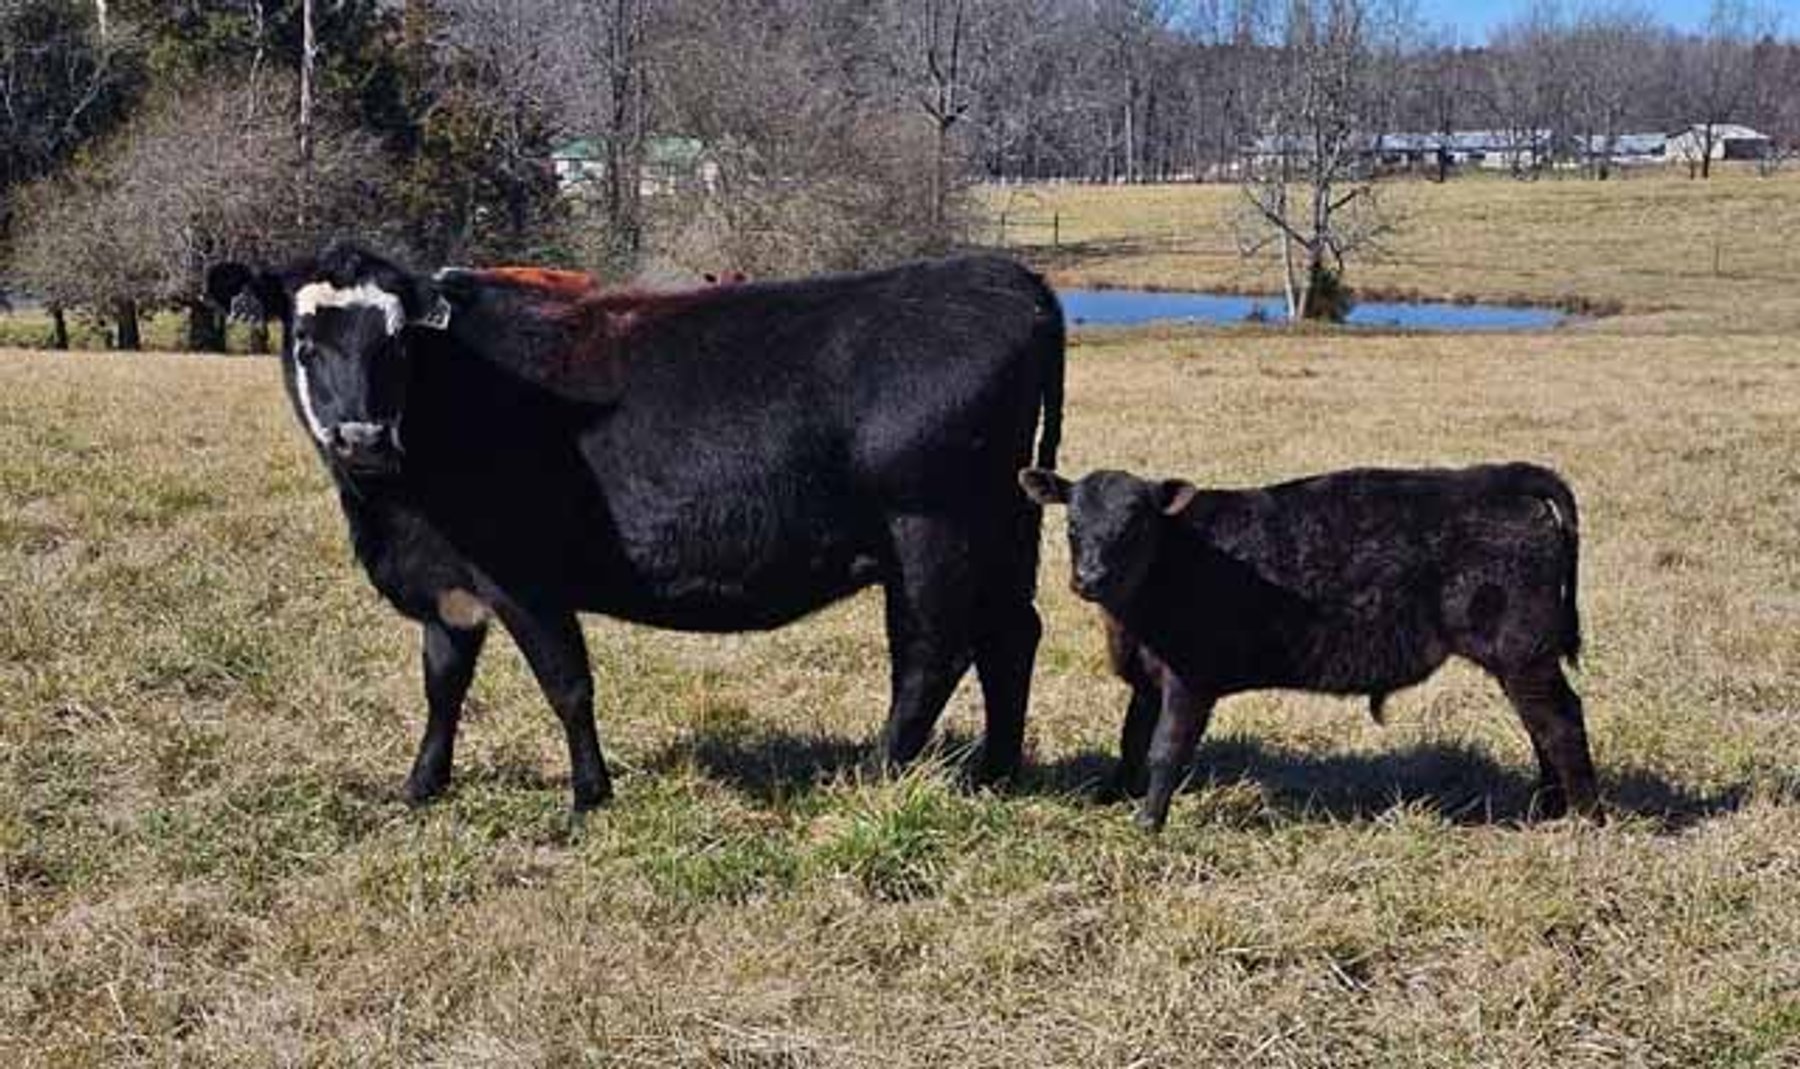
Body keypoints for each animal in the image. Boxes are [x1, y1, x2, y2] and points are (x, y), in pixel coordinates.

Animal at [207, 243, 1065, 814]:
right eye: (304, 341)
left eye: (395, 341)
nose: (361, 436)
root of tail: (1004, 275)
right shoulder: (450, 583)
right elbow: (443, 684)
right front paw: (422, 784)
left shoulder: (524, 578)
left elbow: (567, 683)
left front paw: (589, 794)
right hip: (1001, 532)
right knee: (1011, 638)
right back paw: (997, 771)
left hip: (932, 532)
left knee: (930, 654)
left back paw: (876, 774)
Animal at [1018, 463, 1598, 832]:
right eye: (1072, 524)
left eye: (1135, 524)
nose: (1090, 578)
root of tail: (1497, 478)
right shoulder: (1147, 678)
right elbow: (1131, 739)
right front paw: (1110, 797)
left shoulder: (1191, 678)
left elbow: (1166, 748)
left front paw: (1147, 823)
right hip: (1521, 659)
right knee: (1540, 723)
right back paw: (1548, 807)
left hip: (1523, 650)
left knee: (1561, 721)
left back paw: (1586, 816)